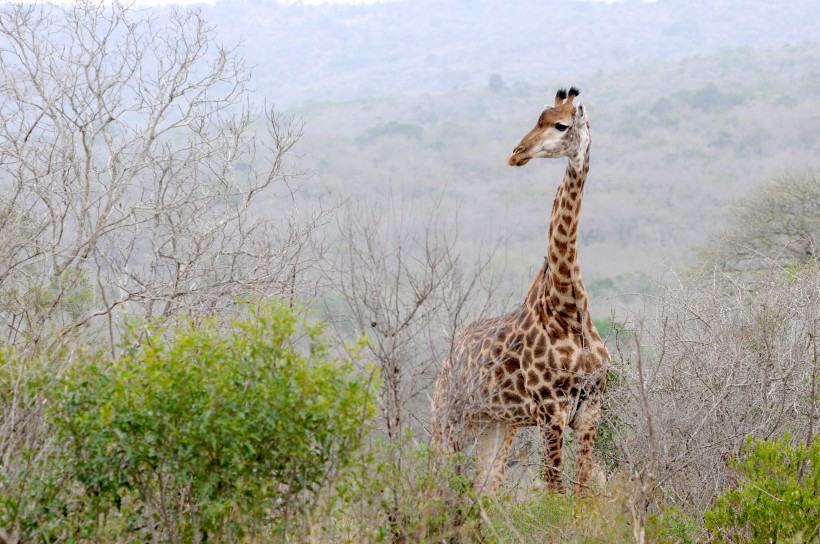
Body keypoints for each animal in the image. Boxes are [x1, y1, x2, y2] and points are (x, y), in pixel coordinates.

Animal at [430, 87, 608, 496]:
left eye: (561, 125)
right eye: (537, 119)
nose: (517, 152)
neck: (568, 306)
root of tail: (446, 363)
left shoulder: (590, 409)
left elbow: (581, 493)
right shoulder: (549, 411)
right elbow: (557, 495)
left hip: (495, 425)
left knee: (484, 491)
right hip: (448, 419)